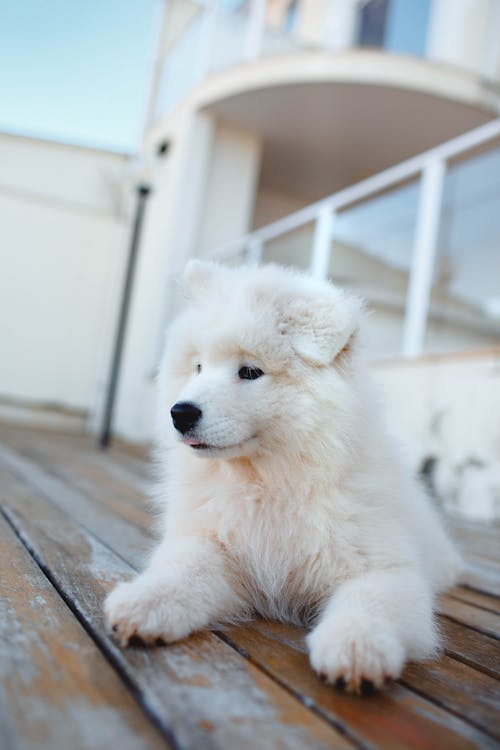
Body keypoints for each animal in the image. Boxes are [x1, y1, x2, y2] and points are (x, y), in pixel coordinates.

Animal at [105, 262, 460, 696]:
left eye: (250, 372)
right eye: (198, 367)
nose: (180, 412)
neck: (267, 481)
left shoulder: (385, 568)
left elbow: (370, 602)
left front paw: (355, 648)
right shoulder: (215, 545)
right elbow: (181, 572)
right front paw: (144, 602)